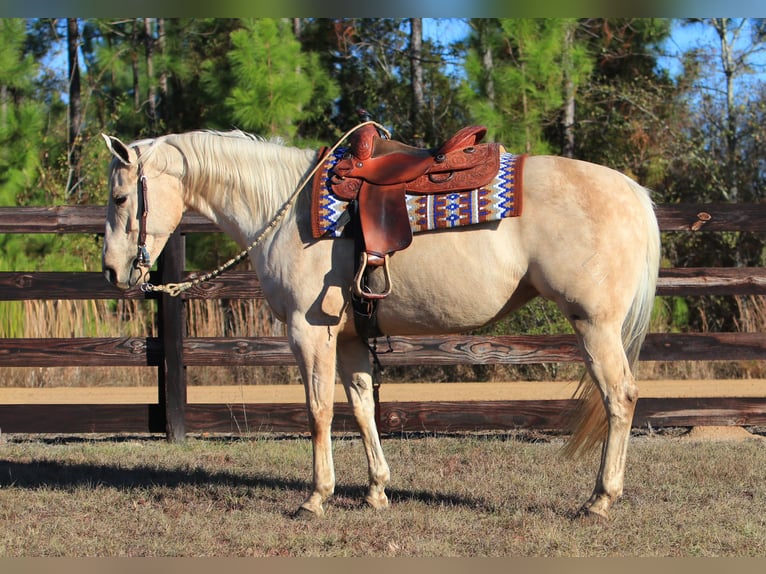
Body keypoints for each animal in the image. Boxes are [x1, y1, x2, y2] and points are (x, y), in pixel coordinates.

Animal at [100, 128, 660, 520]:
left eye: (121, 198)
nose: (111, 271)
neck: (283, 209)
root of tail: (632, 191)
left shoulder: (309, 333)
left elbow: (318, 411)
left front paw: (316, 497)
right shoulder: (349, 337)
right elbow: (362, 407)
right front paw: (375, 491)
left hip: (595, 326)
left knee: (620, 398)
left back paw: (600, 500)